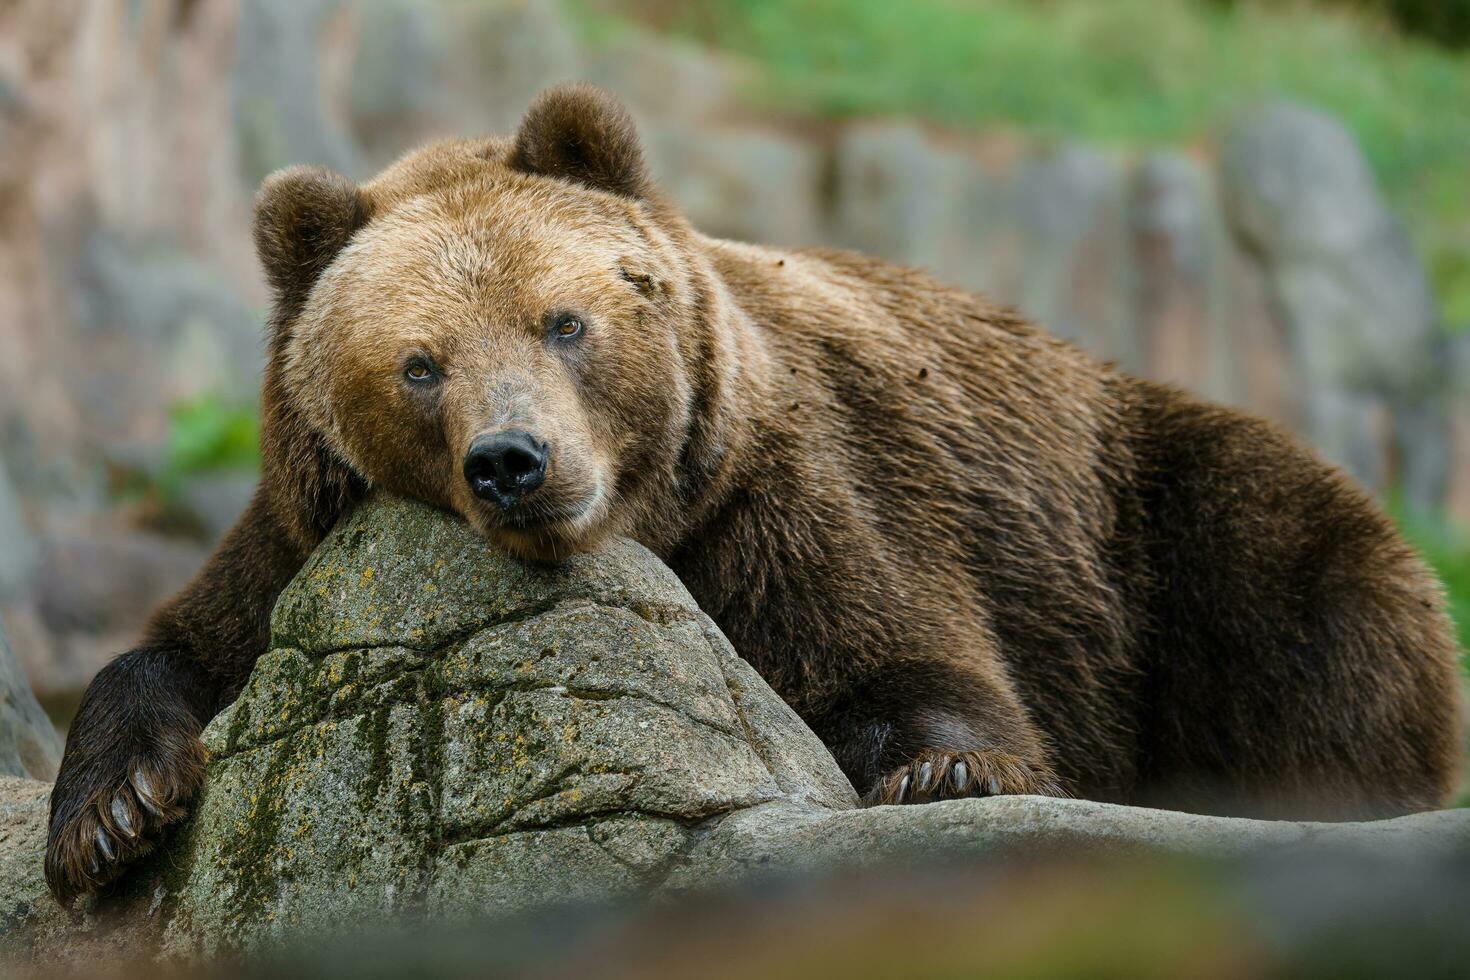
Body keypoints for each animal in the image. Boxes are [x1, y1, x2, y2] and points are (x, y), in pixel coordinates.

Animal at [40, 84, 1464, 905]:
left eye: (563, 320)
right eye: (419, 362)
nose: (514, 460)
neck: (652, 523)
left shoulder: (790, 496)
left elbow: (901, 649)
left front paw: (943, 767)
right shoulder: (306, 531)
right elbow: (185, 643)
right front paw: (110, 816)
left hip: (1152, 508)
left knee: (1316, 597)